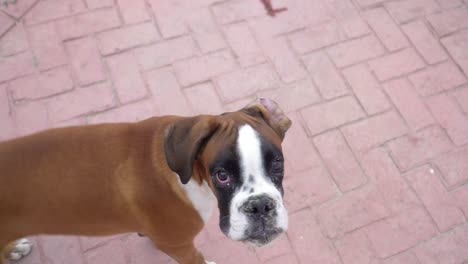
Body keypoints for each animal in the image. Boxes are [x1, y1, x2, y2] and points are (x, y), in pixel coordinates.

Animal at [0, 99, 290, 264]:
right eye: (222, 175)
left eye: (277, 163)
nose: (260, 206)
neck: (190, 174)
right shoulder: (177, 245)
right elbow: (196, 259)